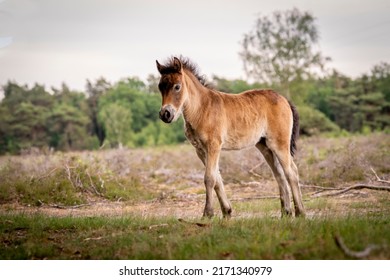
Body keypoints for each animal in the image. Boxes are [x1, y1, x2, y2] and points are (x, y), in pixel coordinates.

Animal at [155, 56, 304, 219]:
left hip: (279, 143)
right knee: (279, 174)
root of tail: (284, 100)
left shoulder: (213, 146)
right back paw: (286, 213)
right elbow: (217, 179)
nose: (165, 114)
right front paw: (226, 212)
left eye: (177, 86)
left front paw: (207, 213)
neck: (202, 109)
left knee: (292, 172)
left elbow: (209, 178)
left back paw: (300, 212)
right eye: (160, 87)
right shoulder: (200, 150)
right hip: (264, 146)